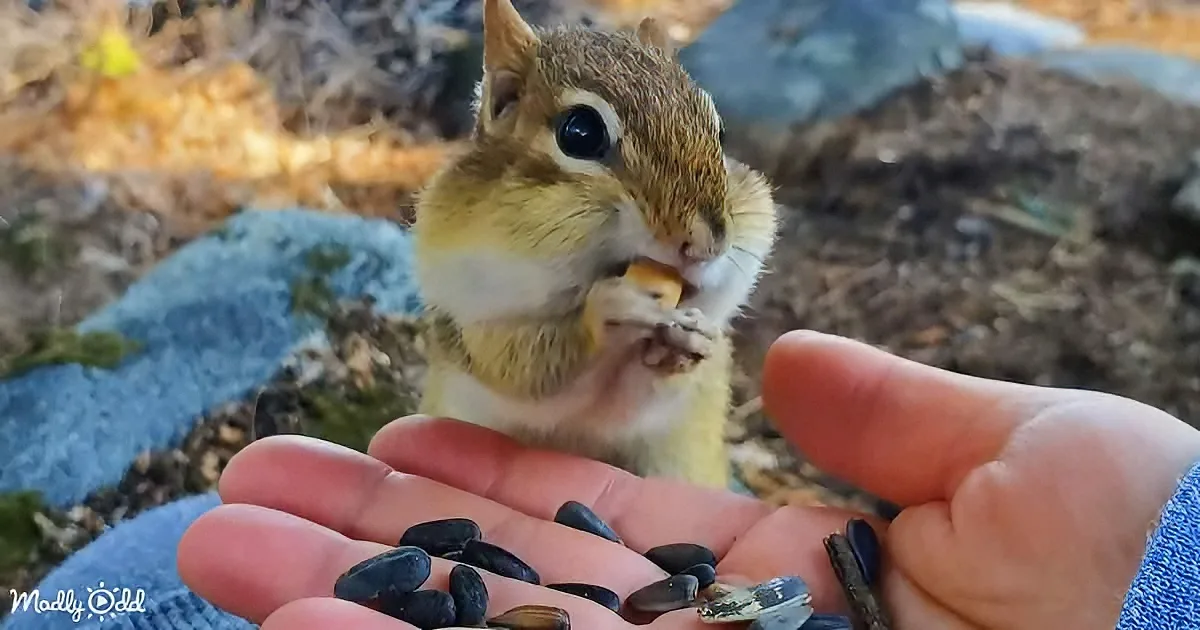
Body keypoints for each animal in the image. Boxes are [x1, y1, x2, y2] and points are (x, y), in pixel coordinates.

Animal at [411, 0, 779, 489]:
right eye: (580, 133)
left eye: (718, 134)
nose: (705, 245)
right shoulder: (475, 323)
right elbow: (527, 373)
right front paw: (608, 308)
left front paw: (690, 340)